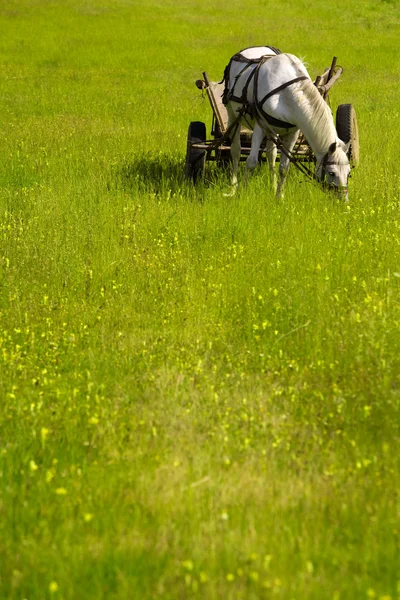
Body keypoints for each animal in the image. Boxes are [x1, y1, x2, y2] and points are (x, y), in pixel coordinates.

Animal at [223, 49, 352, 199]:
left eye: (348, 172)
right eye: (331, 172)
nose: (343, 199)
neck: (287, 92)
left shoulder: (292, 132)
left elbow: (284, 167)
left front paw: (279, 197)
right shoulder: (260, 127)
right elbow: (251, 162)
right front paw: (242, 194)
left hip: (273, 130)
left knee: (271, 154)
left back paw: (272, 187)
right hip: (233, 115)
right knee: (235, 151)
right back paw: (232, 187)